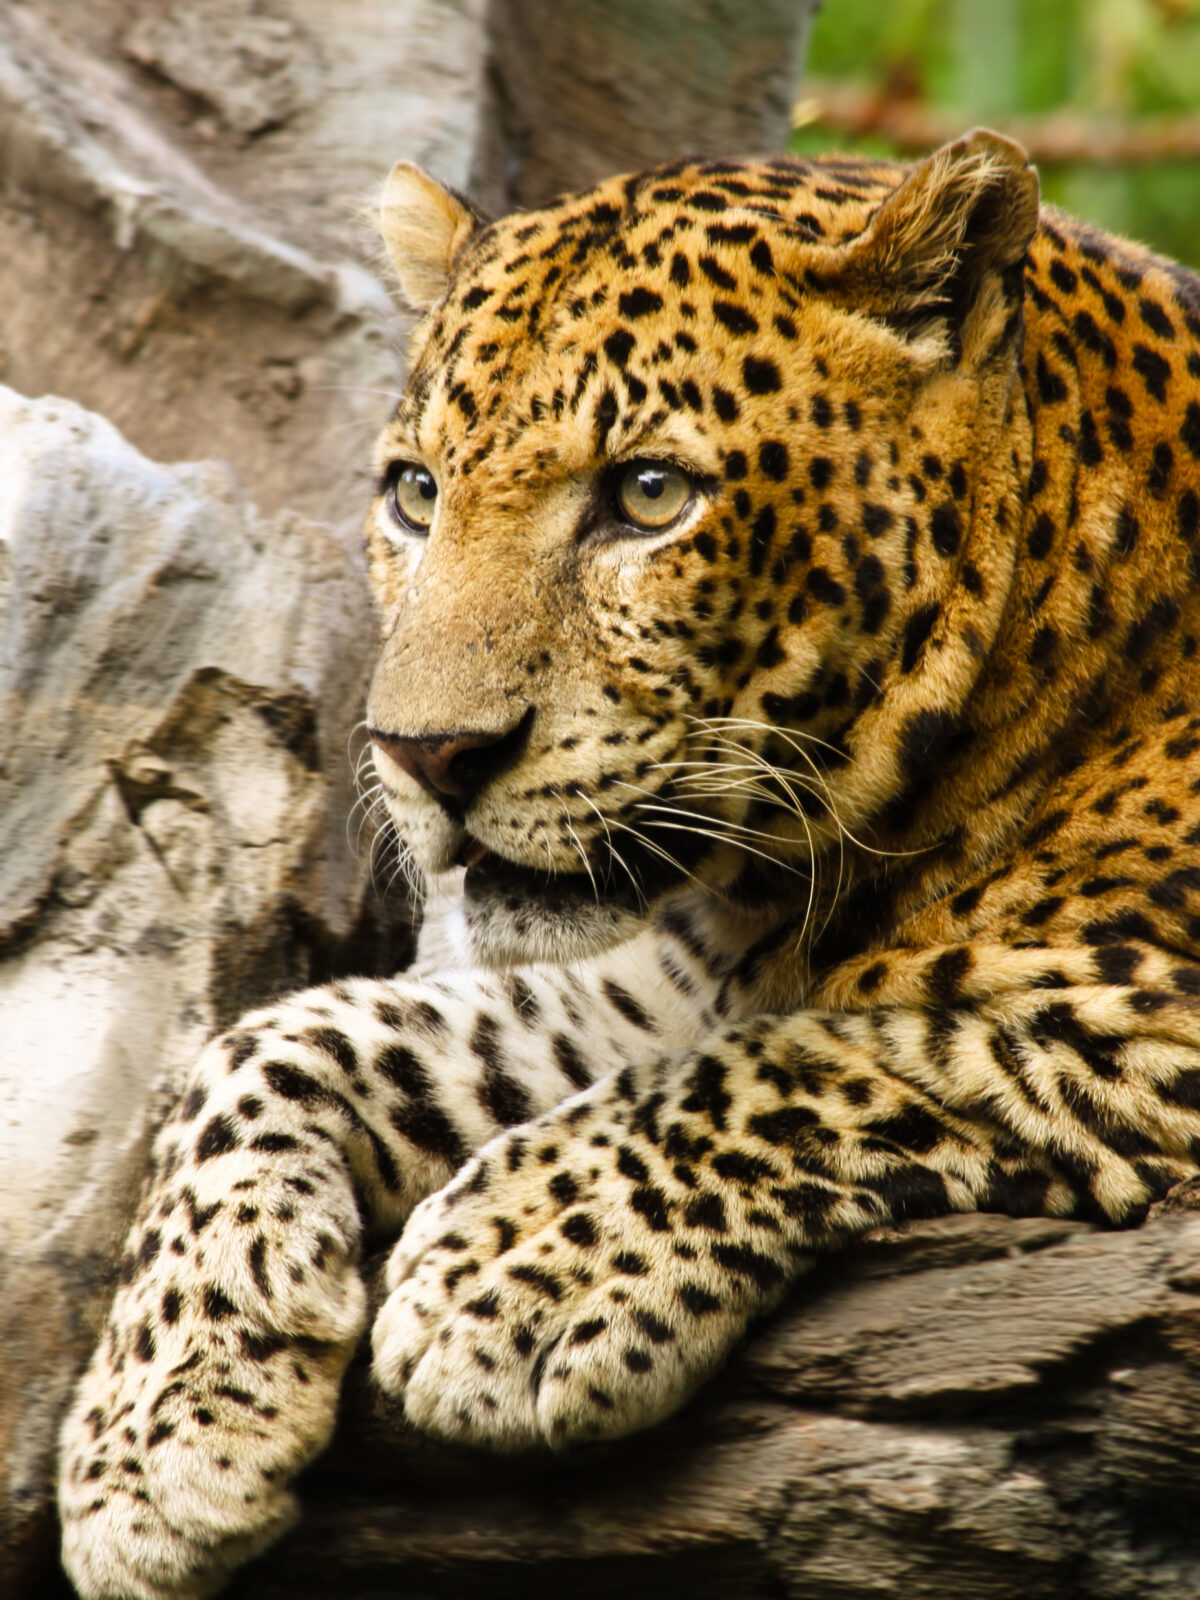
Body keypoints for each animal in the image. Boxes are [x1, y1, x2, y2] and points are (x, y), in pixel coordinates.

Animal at [58, 126, 1200, 1599]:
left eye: (649, 495)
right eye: (417, 494)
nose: (425, 755)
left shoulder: (1144, 1020)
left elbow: (830, 1054)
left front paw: (504, 1275)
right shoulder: (653, 985)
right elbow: (285, 1036)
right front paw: (151, 1431)